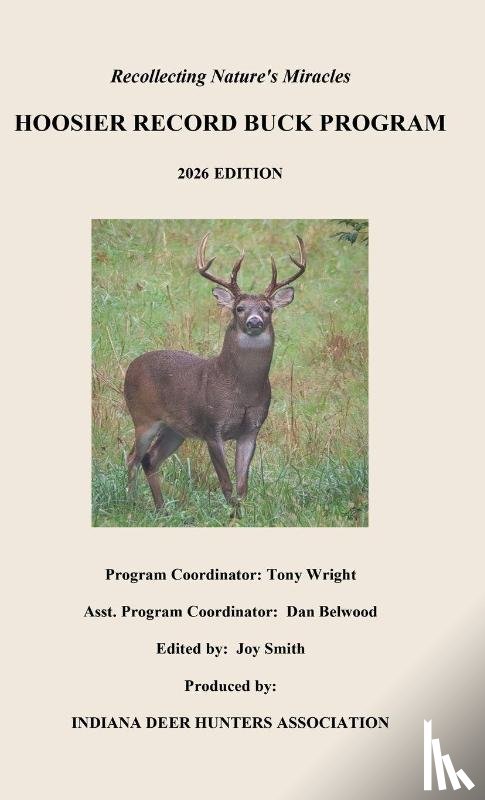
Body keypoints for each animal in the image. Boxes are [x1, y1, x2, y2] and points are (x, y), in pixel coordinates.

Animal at [123, 233, 306, 515]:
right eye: (239, 308)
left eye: (267, 308)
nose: (254, 321)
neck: (241, 390)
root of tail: (131, 366)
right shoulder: (212, 426)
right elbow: (226, 483)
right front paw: (232, 516)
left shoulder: (251, 429)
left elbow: (242, 485)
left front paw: (241, 516)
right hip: (143, 416)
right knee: (132, 456)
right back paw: (133, 503)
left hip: (175, 429)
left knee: (150, 459)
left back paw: (162, 509)